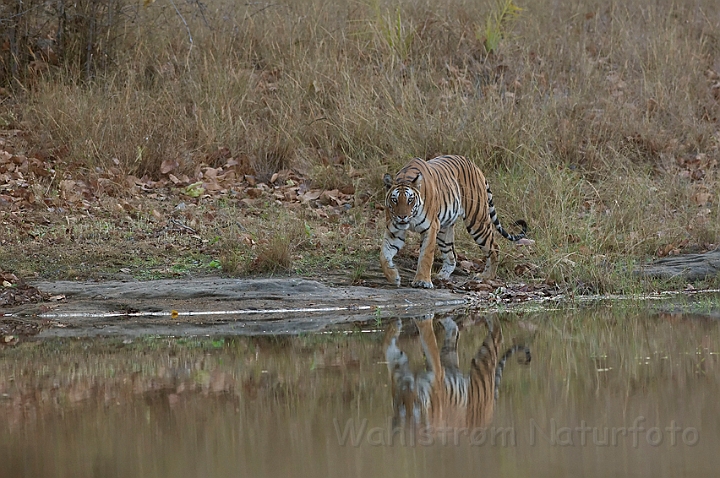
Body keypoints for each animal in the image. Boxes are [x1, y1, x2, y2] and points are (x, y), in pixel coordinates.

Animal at [382, 155, 528, 288]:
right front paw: (393, 277)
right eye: (394, 200)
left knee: (494, 247)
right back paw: (441, 277)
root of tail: (476, 167)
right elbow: (383, 256)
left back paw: (486, 276)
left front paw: (422, 281)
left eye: (410, 200)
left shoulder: (430, 228)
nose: (402, 217)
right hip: (444, 230)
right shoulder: (394, 231)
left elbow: (426, 256)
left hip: (477, 222)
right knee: (452, 255)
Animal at [382, 312, 528, 432]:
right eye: (402, 401)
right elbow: (388, 347)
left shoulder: (435, 372)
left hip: (483, 362)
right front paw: (395, 324)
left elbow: (427, 337)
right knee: (455, 330)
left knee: (497, 335)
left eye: (415, 403)